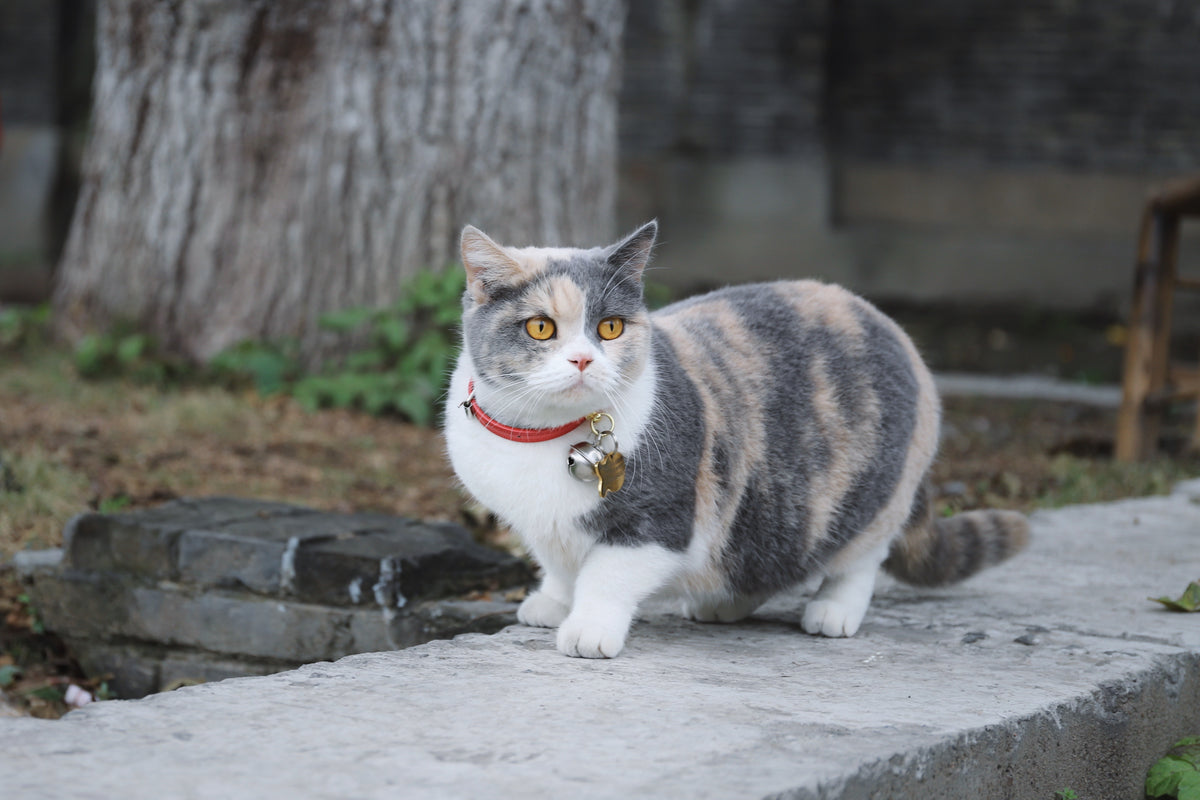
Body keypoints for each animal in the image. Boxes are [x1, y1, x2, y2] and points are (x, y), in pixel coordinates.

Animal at [446, 221, 1027, 662]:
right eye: (541, 328)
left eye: (610, 327)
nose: (584, 358)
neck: (542, 435)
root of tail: (888, 324)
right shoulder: (541, 526)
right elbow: (559, 565)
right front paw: (550, 602)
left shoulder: (660, 520)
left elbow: (605, 575)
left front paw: (588, 628)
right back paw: (722, 604)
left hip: (871, 496)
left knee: (861, 556)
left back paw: (833, 610)